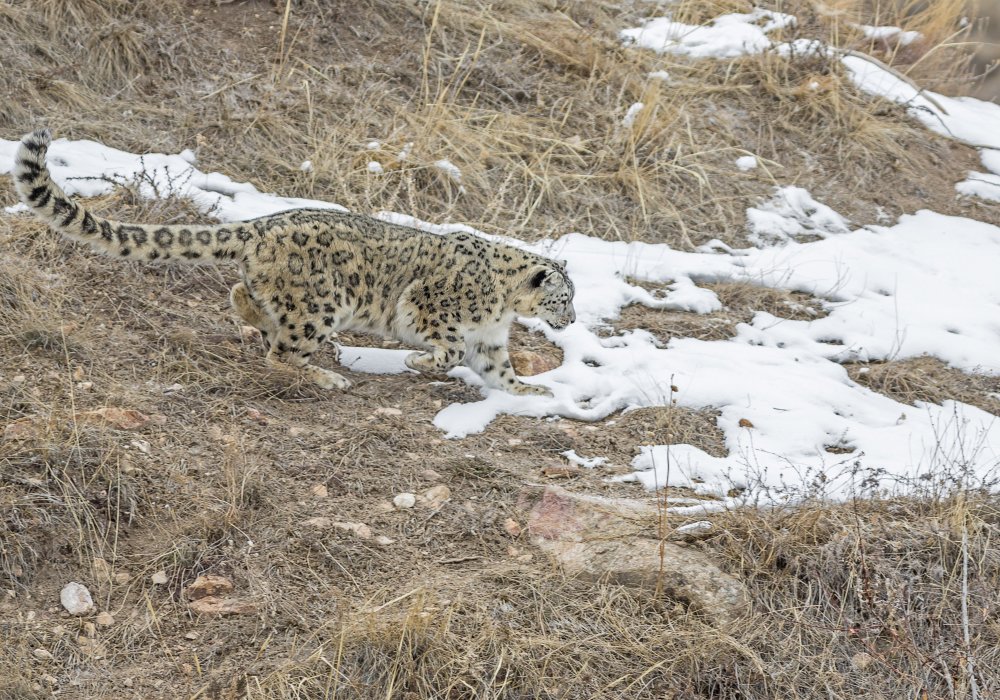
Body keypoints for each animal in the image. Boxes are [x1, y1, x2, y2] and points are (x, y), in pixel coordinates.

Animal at [11, 129, 576, 396]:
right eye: (565, 298)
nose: (572, 320)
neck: (503, 307)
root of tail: (261, 225)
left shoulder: (492, 339)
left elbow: (498, 370)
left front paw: (529, 391)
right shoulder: (432, 310)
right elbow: (450, 350)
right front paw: (417, 363)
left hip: (289, 296)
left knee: (244, 298)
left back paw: (263, 323)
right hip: (322, 304)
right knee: (280, 353)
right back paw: (327, 377)